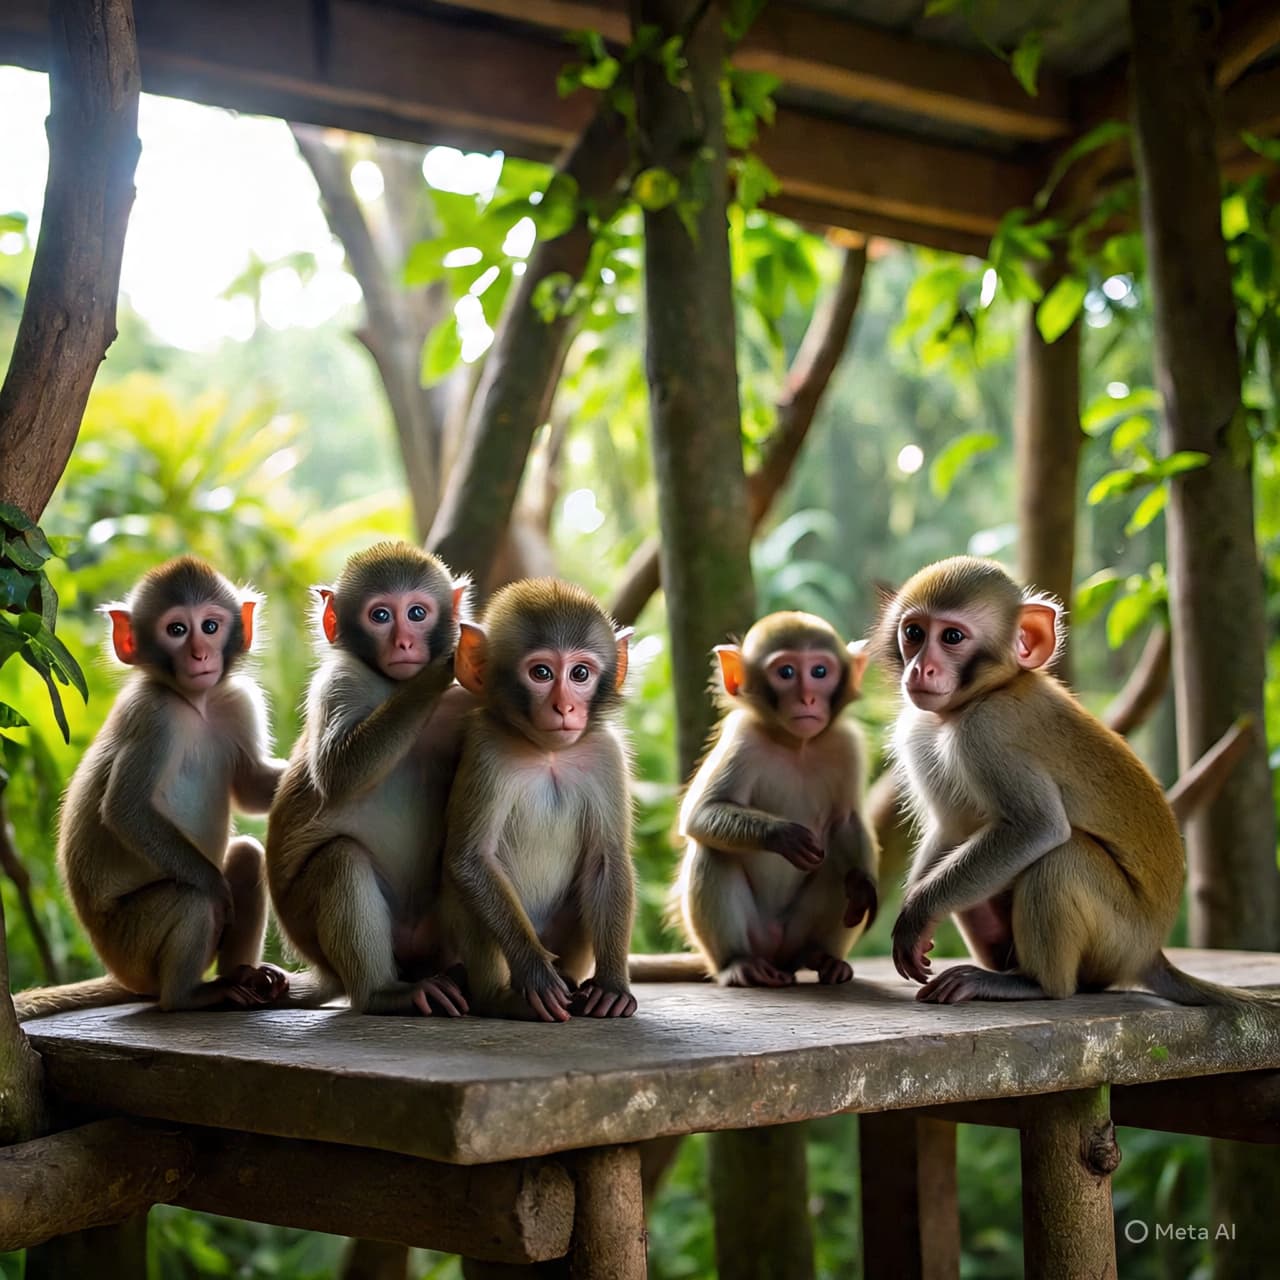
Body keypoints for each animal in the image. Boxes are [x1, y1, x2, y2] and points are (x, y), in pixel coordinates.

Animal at [15, 557, 288, 1020]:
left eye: (210, 626)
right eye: (176, 630)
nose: (200, 654)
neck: (195, 704)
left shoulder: (237, 699)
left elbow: (251, 786)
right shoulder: (152, 716)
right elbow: (125, 811)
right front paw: (217, 889)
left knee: (248, 858)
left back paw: (243, 977)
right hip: (132, 944)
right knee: (195, 901)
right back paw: (189, 995)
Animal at [266, 541, 473, 1016]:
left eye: (417, 613)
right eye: (380, 615)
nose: (404, 642)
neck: (391, 684)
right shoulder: (338, 683)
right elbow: (338, 772)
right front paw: (441, 665)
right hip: (309, 923)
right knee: (340, 859)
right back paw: (382, 992)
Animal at [442, 578, 637, 1022]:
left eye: (580, 673)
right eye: (542, 673)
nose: (564, 706)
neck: (548, 753)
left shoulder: (605, 754)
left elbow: (606, 859)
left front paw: (613, 987)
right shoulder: (487, 749)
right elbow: (470, 859)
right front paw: (537, 977)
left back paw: (573, 981)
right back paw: (501, 997)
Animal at [672, 612, 879, 988]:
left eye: (819, 671)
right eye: (786, 673)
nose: (808, 699)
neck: (796, 745)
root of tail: (778, 953)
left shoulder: (846, 744)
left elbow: (847, 821)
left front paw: (862, 884)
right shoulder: (742, 739)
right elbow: (700, 814)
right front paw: (782, 835)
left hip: (797, 932)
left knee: (835, 863)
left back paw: (824, 959)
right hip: (752, 936)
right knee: (712, 851)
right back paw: (739, 964)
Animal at [880, 555, 1279, 1008]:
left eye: (952, 637)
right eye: (914, 633)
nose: (921, 669)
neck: (982, 695)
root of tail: (1150, 952)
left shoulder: (986, 733)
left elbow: (1037, 828)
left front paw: (917, 913)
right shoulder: (919, 732)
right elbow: (950, 828)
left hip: (1120, 936)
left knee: (1063, 857)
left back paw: (1033, 983)